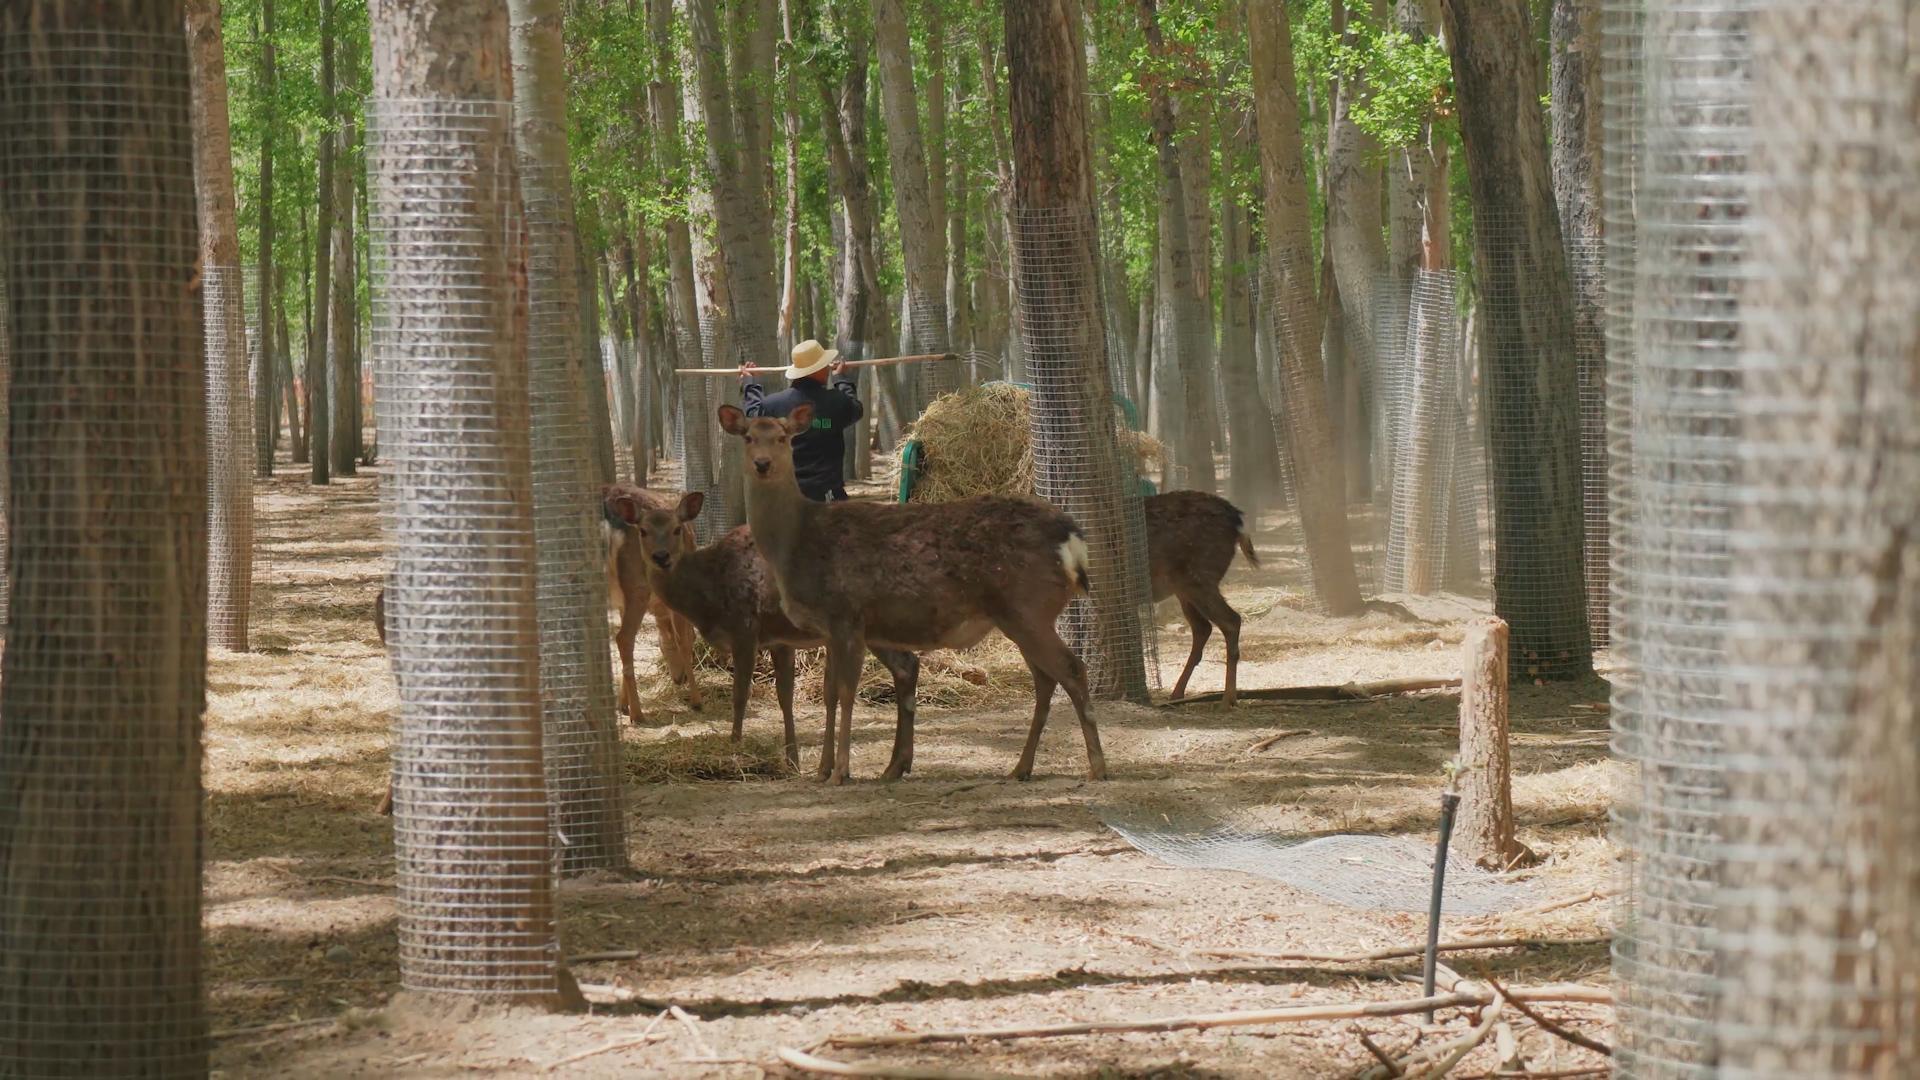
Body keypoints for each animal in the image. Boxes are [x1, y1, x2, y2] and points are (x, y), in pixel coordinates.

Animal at [606, 488, 921, 772]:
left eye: (676, 529)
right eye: (643, 531)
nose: (661, 557)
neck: (708, 593)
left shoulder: (745, 626)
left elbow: (740, 694)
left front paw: (735, 746)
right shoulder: (779, 639)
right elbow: (784, 696)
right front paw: (792, 760)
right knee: (907, 664)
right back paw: (897, 765)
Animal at [718, 401, 1113, 780]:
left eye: (783, 437)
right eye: (748, 437)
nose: (763, 464)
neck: (793, 542)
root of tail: (1073, 541)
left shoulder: (846, 614)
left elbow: (846, 693)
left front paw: (841, 772)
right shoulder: (829, 628)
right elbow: (829, 694)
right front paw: (823, 770)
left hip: (1026, 606)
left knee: (1071, 668)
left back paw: (1097, 766)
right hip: (1021, 615)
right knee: (1045, 678)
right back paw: (1021, 768)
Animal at [1144, 488, 1267, 707]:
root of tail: (1238, 521)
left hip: (1200, 576)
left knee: (1231, 620)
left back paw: (1227, 699)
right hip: (1185, 588)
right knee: (1203, 627)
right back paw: (1177, 693)